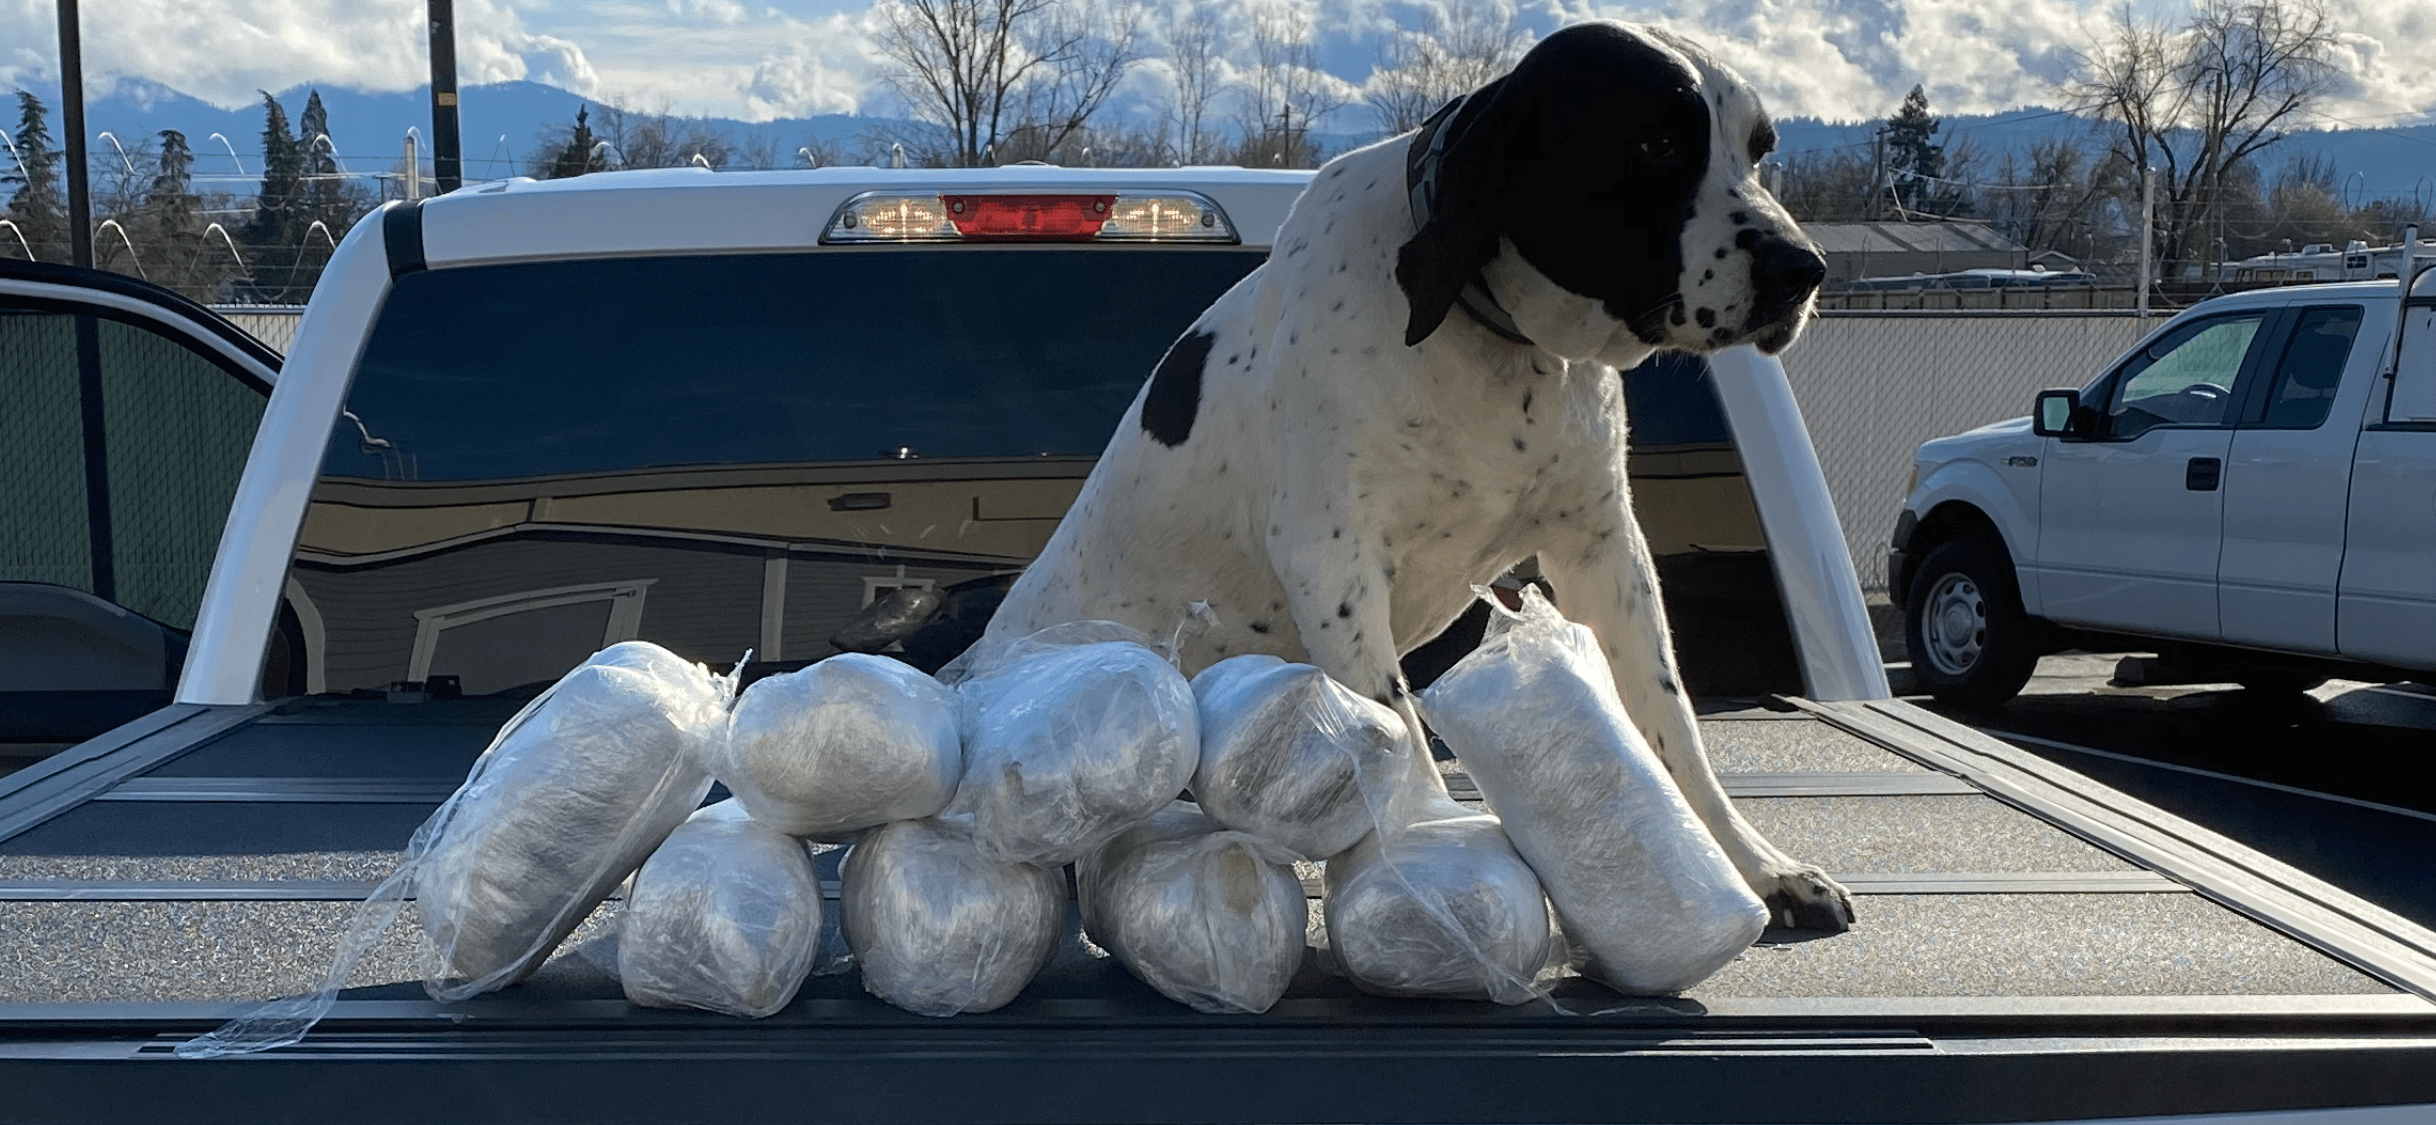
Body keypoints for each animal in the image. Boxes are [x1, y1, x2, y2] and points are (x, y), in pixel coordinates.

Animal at [969, 21, 1841, 925]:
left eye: (1760, 151)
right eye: (1658, 143)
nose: (1801, 268)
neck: (1491, 338)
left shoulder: (1602, 547)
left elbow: (1671, 723)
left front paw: (1754, 862)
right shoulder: (1335, 561)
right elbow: (1400, 730)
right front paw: (1430, 872)